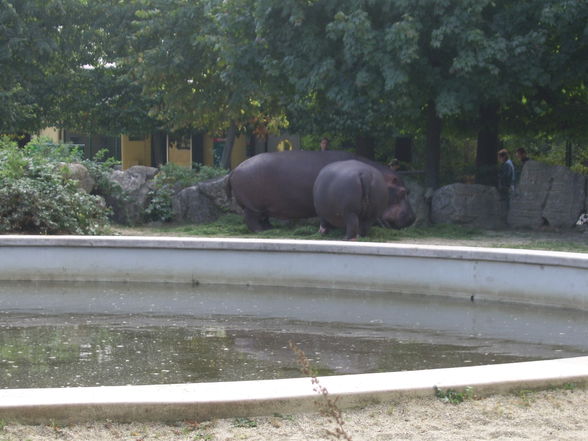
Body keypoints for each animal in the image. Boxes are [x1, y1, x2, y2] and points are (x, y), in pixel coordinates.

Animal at [225, 150, 414, 232]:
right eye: (403, 191)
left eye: (409, 191)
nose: (412, 218)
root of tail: (234, 170)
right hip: (253, 206)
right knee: (251, 219)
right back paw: (261, 231)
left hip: (262, 206)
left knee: (263, 218)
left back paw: (269, 229)